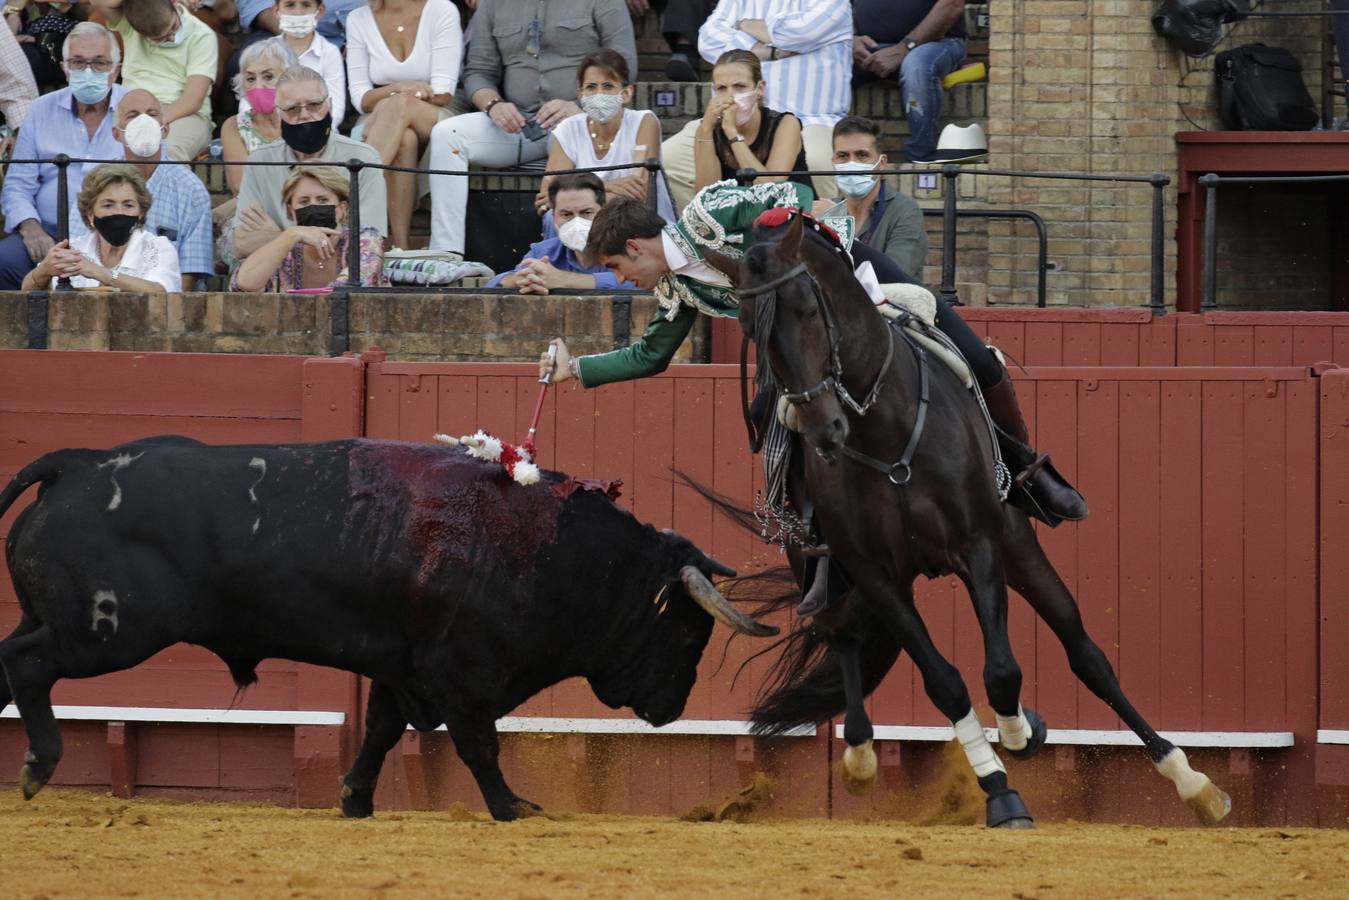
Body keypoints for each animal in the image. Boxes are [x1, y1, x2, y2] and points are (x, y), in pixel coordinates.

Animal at [0, 437, 782, 825]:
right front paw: (512, 808)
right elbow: (477, 743)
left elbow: (379, 731)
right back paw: (38, 766)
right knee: (27, 663)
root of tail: (76, 465)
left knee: (8, 664)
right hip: (105, 631)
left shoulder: (396, 666)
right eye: (687, 636)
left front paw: (355, 800)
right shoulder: (461, 672)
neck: (549, 548)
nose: (673, 708)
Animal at [706, 213, 1235, 831]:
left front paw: (1022, 733)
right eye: (750, 329)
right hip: (824, 571)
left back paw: (1192, 781)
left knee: (1086, 654)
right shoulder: (876, 575)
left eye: (809, 310)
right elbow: (947, 683)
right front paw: (1001, 791)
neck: (882, 433)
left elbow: (1002, 671)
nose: (822, 429)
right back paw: (859, 756)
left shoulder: (979, 546)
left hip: (1018, 543)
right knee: (846, 639)